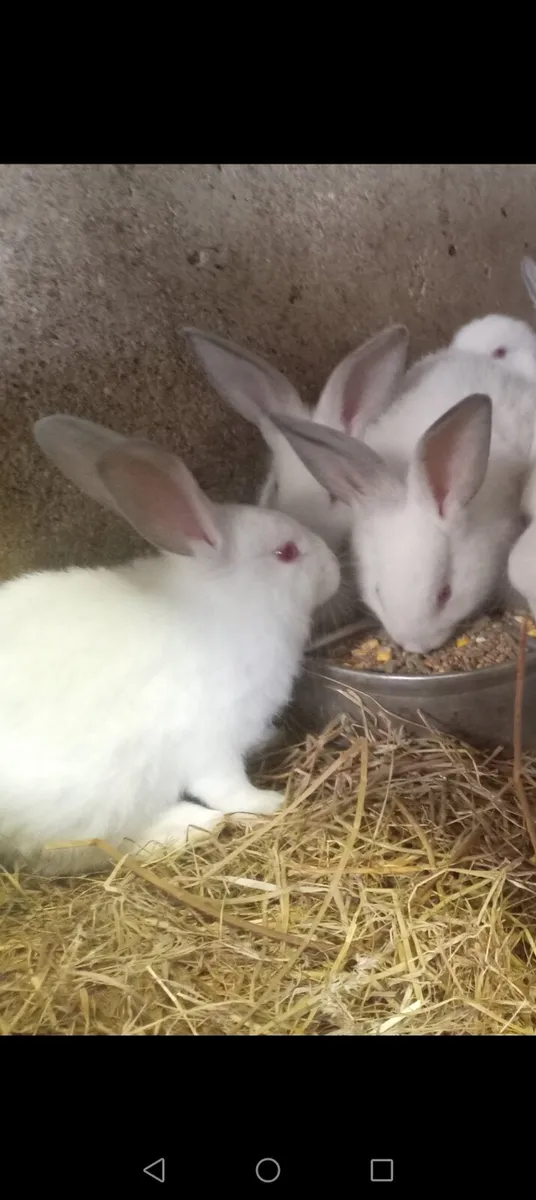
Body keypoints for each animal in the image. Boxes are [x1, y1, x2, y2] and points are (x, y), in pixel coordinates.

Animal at [0, 415, 340, 876]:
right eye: (286, 552)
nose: (335, 569)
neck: (228, 606)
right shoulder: (210, 742)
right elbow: (228, 787)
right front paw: (269, 803)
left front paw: (270, 738)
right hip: (94, 799)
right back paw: (197, 825)